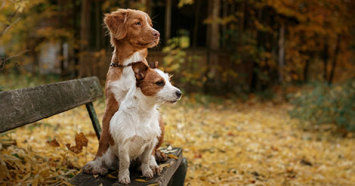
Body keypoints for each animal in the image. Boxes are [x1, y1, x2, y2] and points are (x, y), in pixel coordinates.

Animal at [84, 8, 167, 174]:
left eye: (150, 23)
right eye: (138, 23)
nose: (157, 33)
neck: (130, 64)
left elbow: (150, 145)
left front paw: (151, 164)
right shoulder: (110, 106)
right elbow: (103, 138)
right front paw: (97, 162)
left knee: (155, 146)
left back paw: (158, 156)